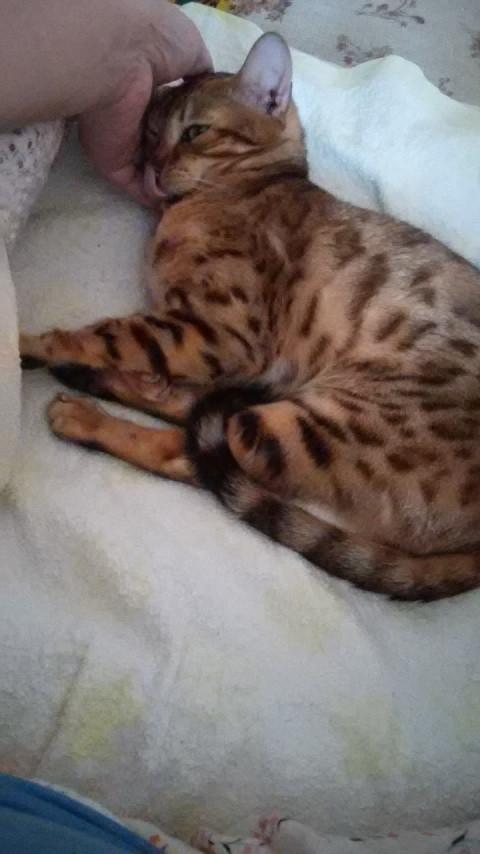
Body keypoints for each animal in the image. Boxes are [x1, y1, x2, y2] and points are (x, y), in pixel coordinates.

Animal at [20, 33, 480, 601]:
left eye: (195, 132)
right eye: (150, 132)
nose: (153, 167)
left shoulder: (222, 332)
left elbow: (105, 335)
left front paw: (28, 345)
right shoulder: (206, 339)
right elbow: (144, 362)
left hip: (317, 423)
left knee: (198, 453)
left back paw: (84, 415)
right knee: (191, 415)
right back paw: (87, 382)